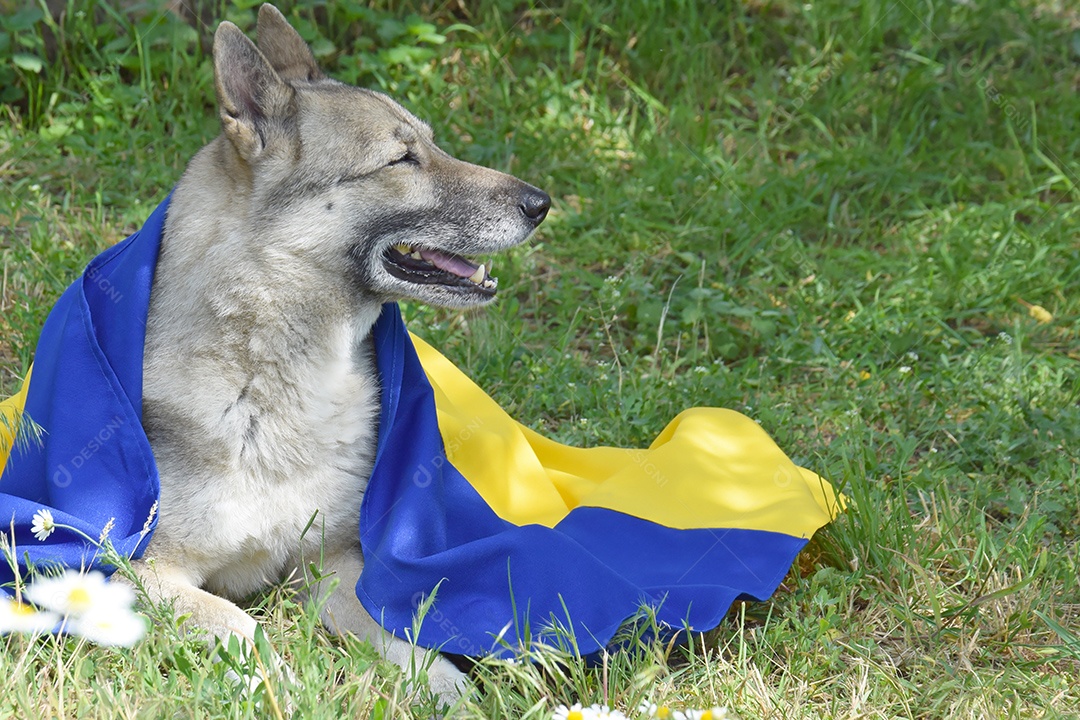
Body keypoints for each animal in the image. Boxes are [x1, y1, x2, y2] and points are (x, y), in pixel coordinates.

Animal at [132, 4, 548, 703]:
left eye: (432, 144)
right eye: (401, 159)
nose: (541, 204)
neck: (272, 379)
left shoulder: (334, 563)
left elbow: (393, 625)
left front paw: (442, 682)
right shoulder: (130, 571)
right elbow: (243, 626)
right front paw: (279, 684)